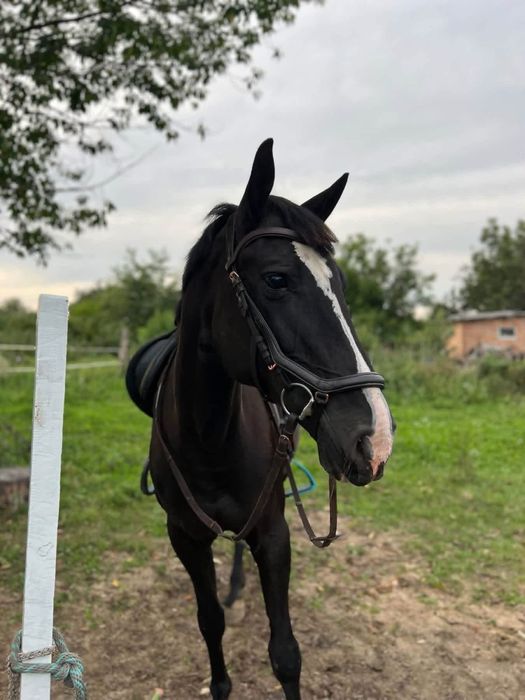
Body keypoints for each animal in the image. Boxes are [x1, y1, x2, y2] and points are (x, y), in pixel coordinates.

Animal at [146, 139, 394, 699]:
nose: (375, 439)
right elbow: (209, 622)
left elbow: (285, 654)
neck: (209, 438)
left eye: (340, 284)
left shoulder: (274, 532)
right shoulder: (183, 537)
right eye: (276, 279)